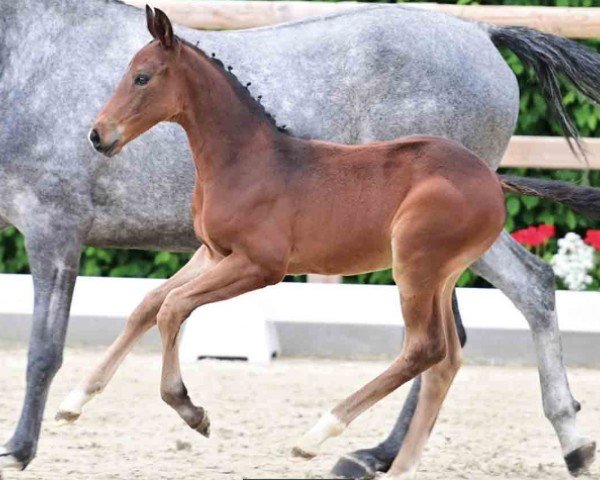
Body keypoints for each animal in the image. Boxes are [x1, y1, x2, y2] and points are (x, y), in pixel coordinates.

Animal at [0, 1, 596, 478]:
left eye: (143, 77)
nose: (98, 136)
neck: (247, 159)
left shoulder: (255, 265)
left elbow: (145, 316)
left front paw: (188, 412)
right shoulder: (212, 253)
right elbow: (149, 304)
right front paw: (77, 402)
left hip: (414, 265)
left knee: (435, 342)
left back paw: (324, 437)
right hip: (439, 272)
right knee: (449, 352)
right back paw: (401, 460)